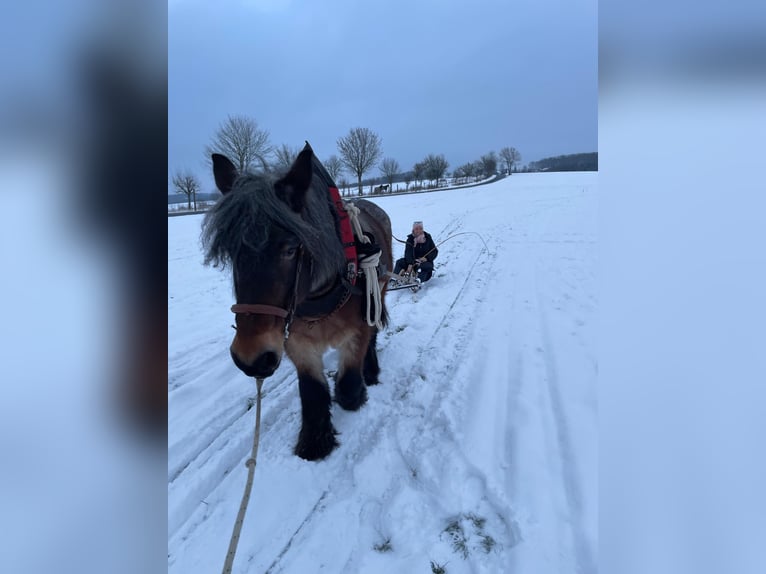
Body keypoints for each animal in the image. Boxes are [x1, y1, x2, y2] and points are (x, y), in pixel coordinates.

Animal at [201, 143, 393, 460]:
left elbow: (348, 388)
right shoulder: (294, 341)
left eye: (290, 249)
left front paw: (357, 390)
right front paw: (315, 440)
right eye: (231, 252)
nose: (250, 358)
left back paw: (372, 369)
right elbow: (312, 390)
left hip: (381, 291)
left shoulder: (356, 332)